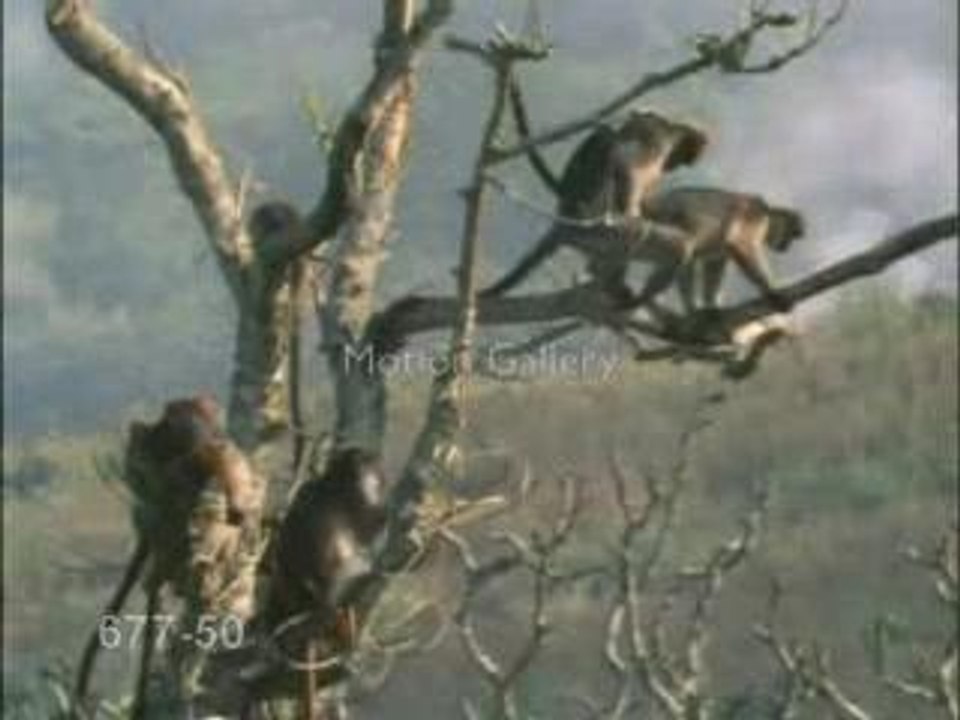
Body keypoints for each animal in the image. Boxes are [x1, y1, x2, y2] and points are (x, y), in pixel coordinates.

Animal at [481, 108, 708, 299]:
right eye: (683, 158)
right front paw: (635, 213)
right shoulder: (659, 137)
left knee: (602, 135)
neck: (672, 127)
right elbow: (627, 164)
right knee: (607, 140)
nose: (672, 166)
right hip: (600, 224)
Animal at [633, 187, 806, 314]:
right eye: (790, 235)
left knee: (687, 259)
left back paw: (691, 310)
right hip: (657, 225)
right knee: (683, 248)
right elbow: (739, 242)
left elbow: (714, 265)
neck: (766, 212)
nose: (786, 246)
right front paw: (772, 291)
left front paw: (711, 305)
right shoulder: (752, 212)